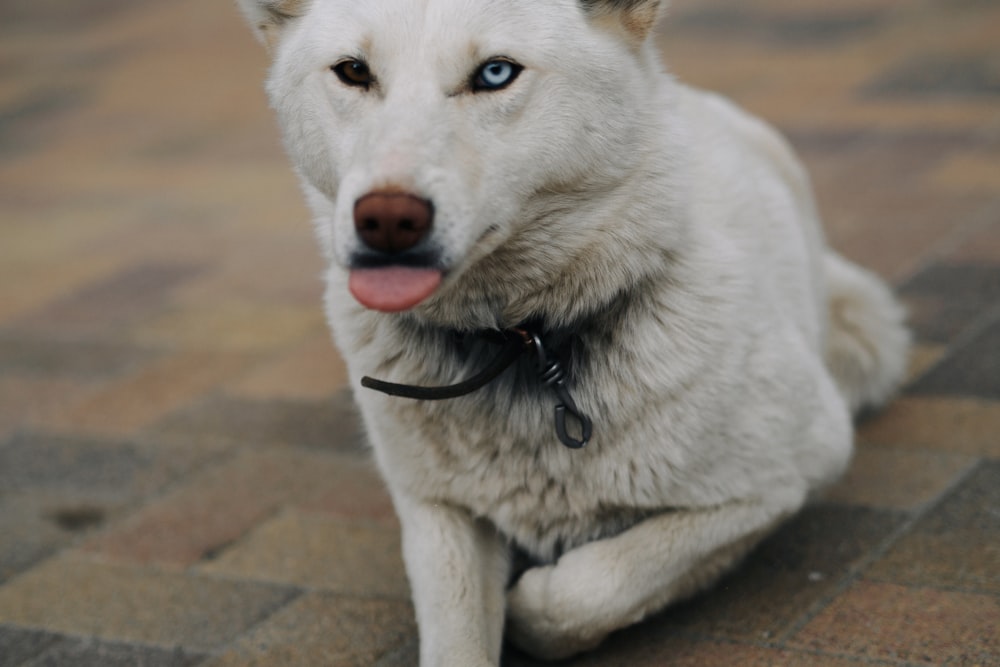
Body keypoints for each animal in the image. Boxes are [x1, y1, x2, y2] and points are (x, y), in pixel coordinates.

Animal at [238, 0, 912, 664]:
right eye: (353, 71)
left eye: (495, 74)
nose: (386, 220)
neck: (526, 341)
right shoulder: (436, 508)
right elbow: (457, 636)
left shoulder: (785, 473)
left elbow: (592, 585)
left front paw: (530, 607)